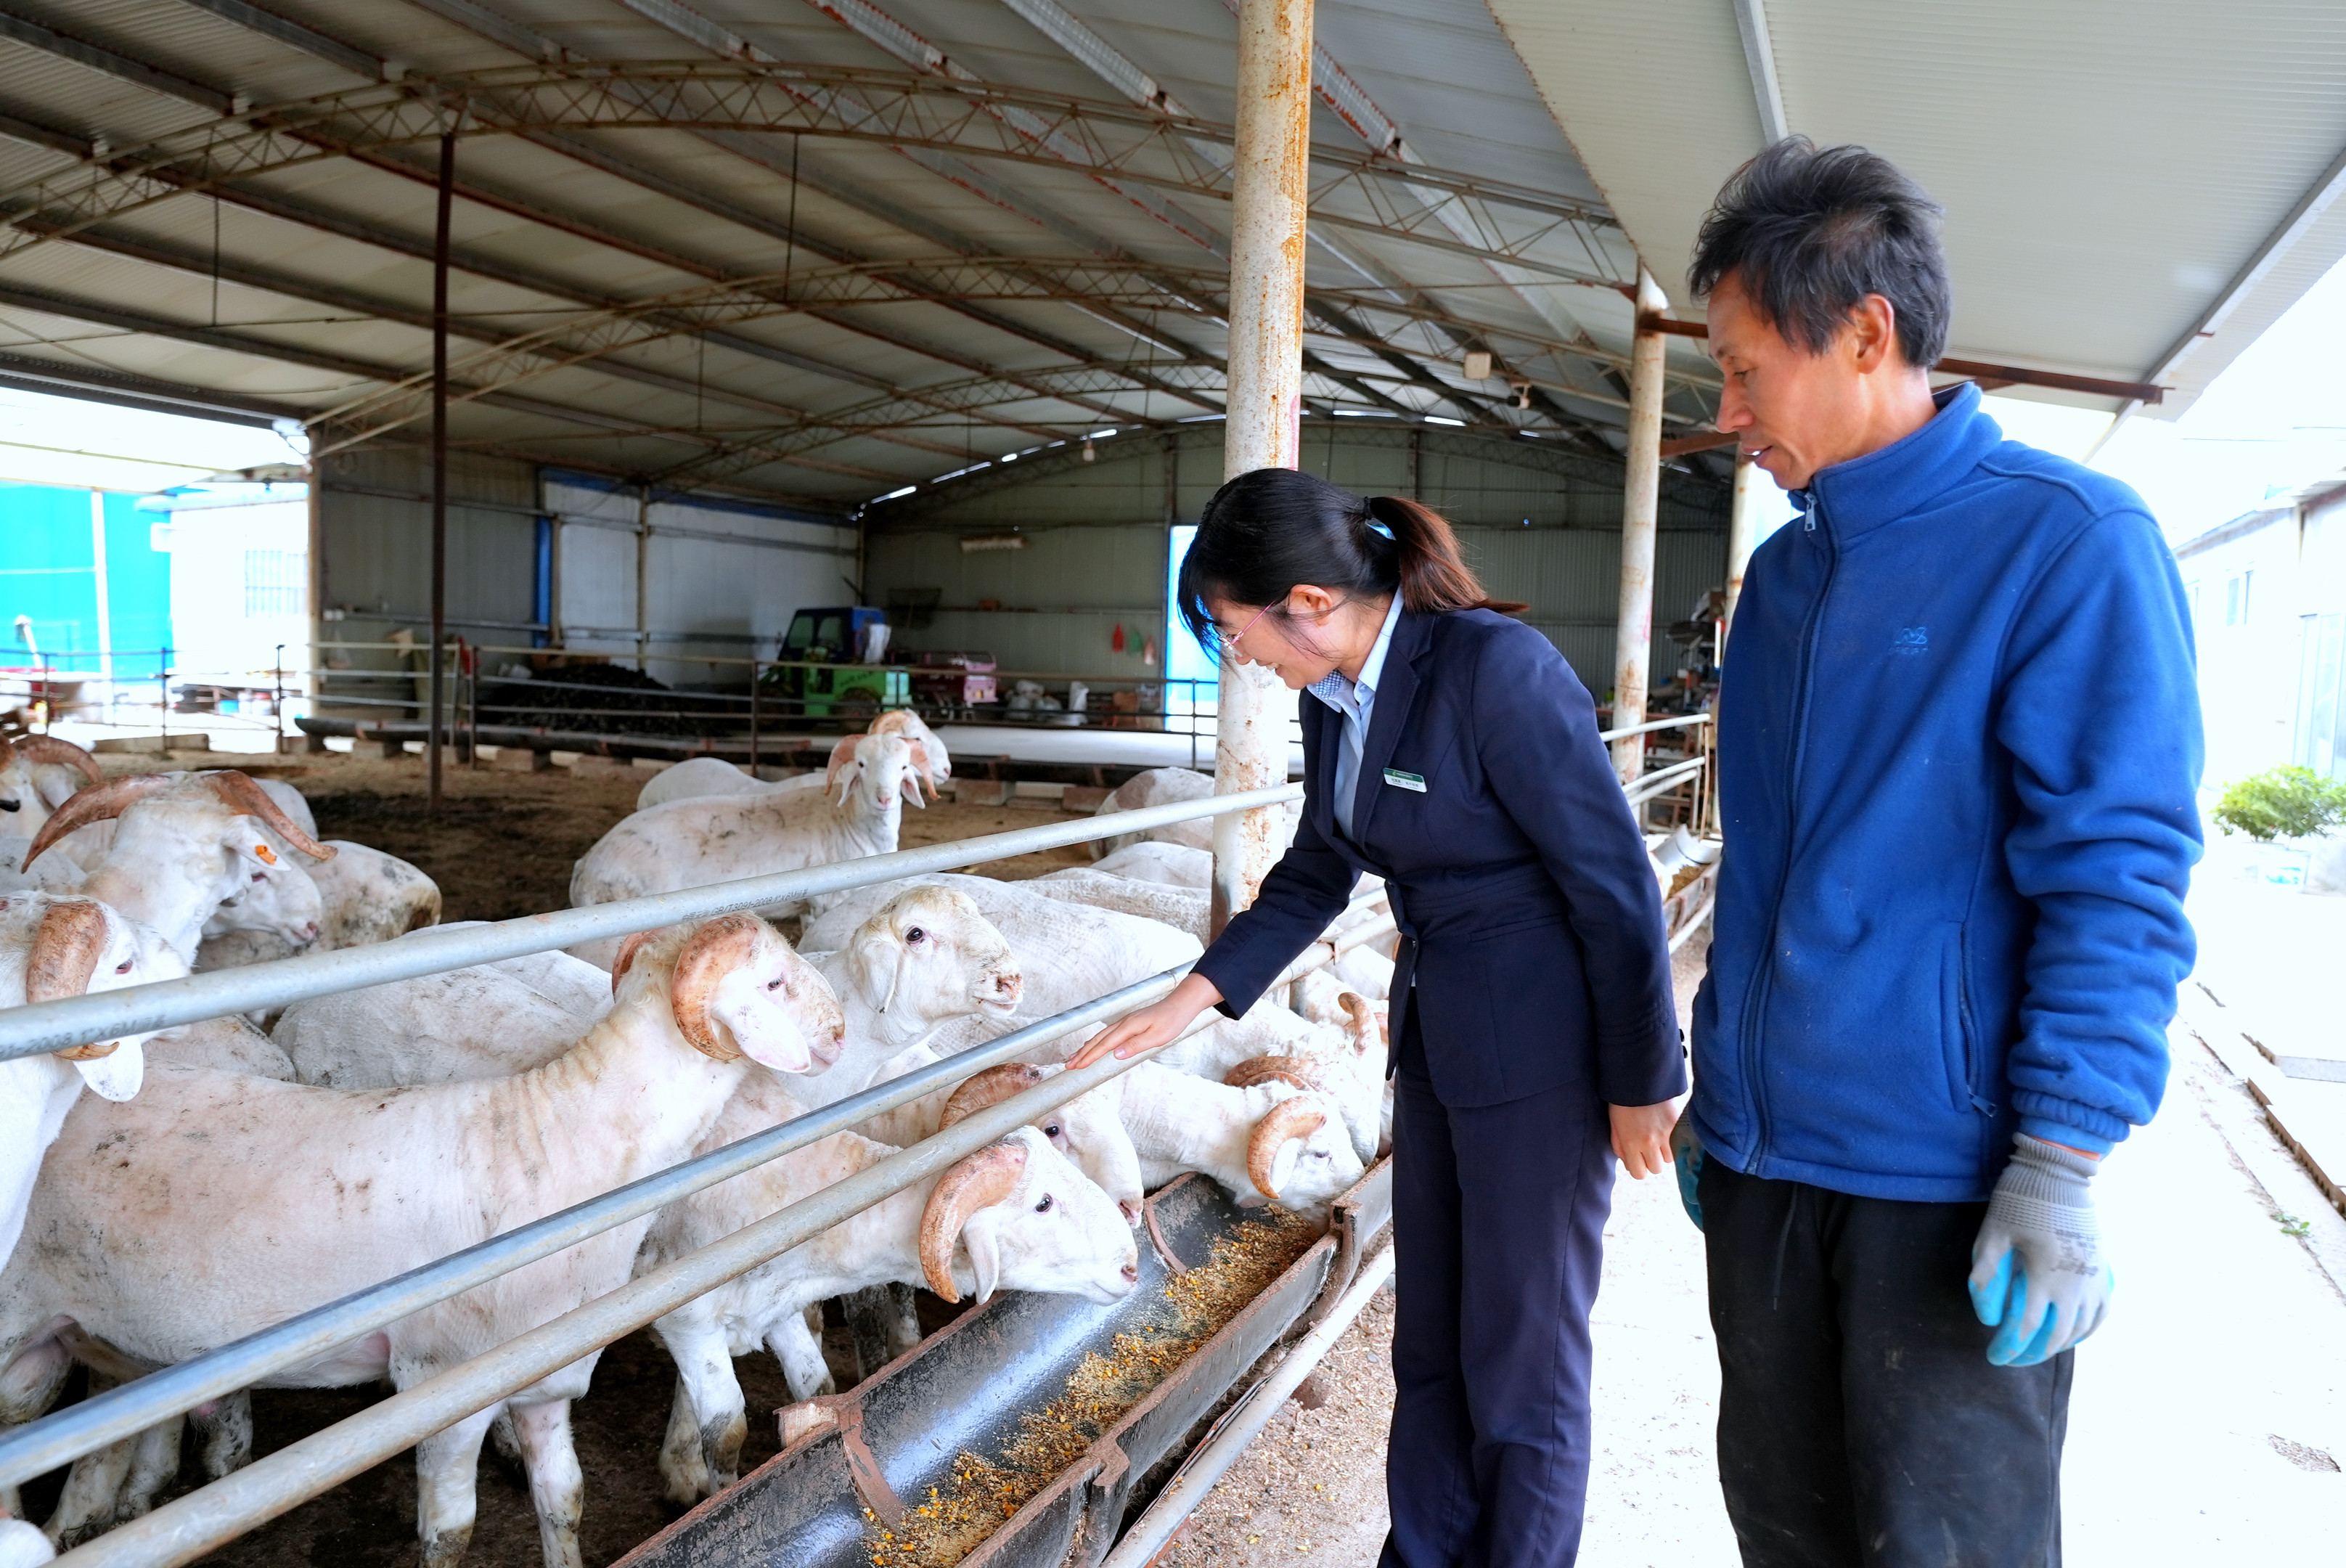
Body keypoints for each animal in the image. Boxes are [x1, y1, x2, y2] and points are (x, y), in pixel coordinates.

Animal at [0, 910, 844, 1559]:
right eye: (773, 983)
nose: (839, 1033)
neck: (556, 1139)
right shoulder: (442, 1380)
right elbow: (450, 1534)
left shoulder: (543, 1379)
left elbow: (563, 1500)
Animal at [568, 732, 924, 971]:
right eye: (862, 765)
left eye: (904, 767)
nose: (884, 799)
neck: (849, 820)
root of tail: (586, 864)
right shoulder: (827, 901)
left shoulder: (809, 906)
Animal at [642, 1108, 1135, 1502]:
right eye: (1043, 1204)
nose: (1132, 1266)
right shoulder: (690, 1324)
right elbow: (727, 1434)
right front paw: (718, 1496)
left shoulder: (775, 1308)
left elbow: (816, 1386)